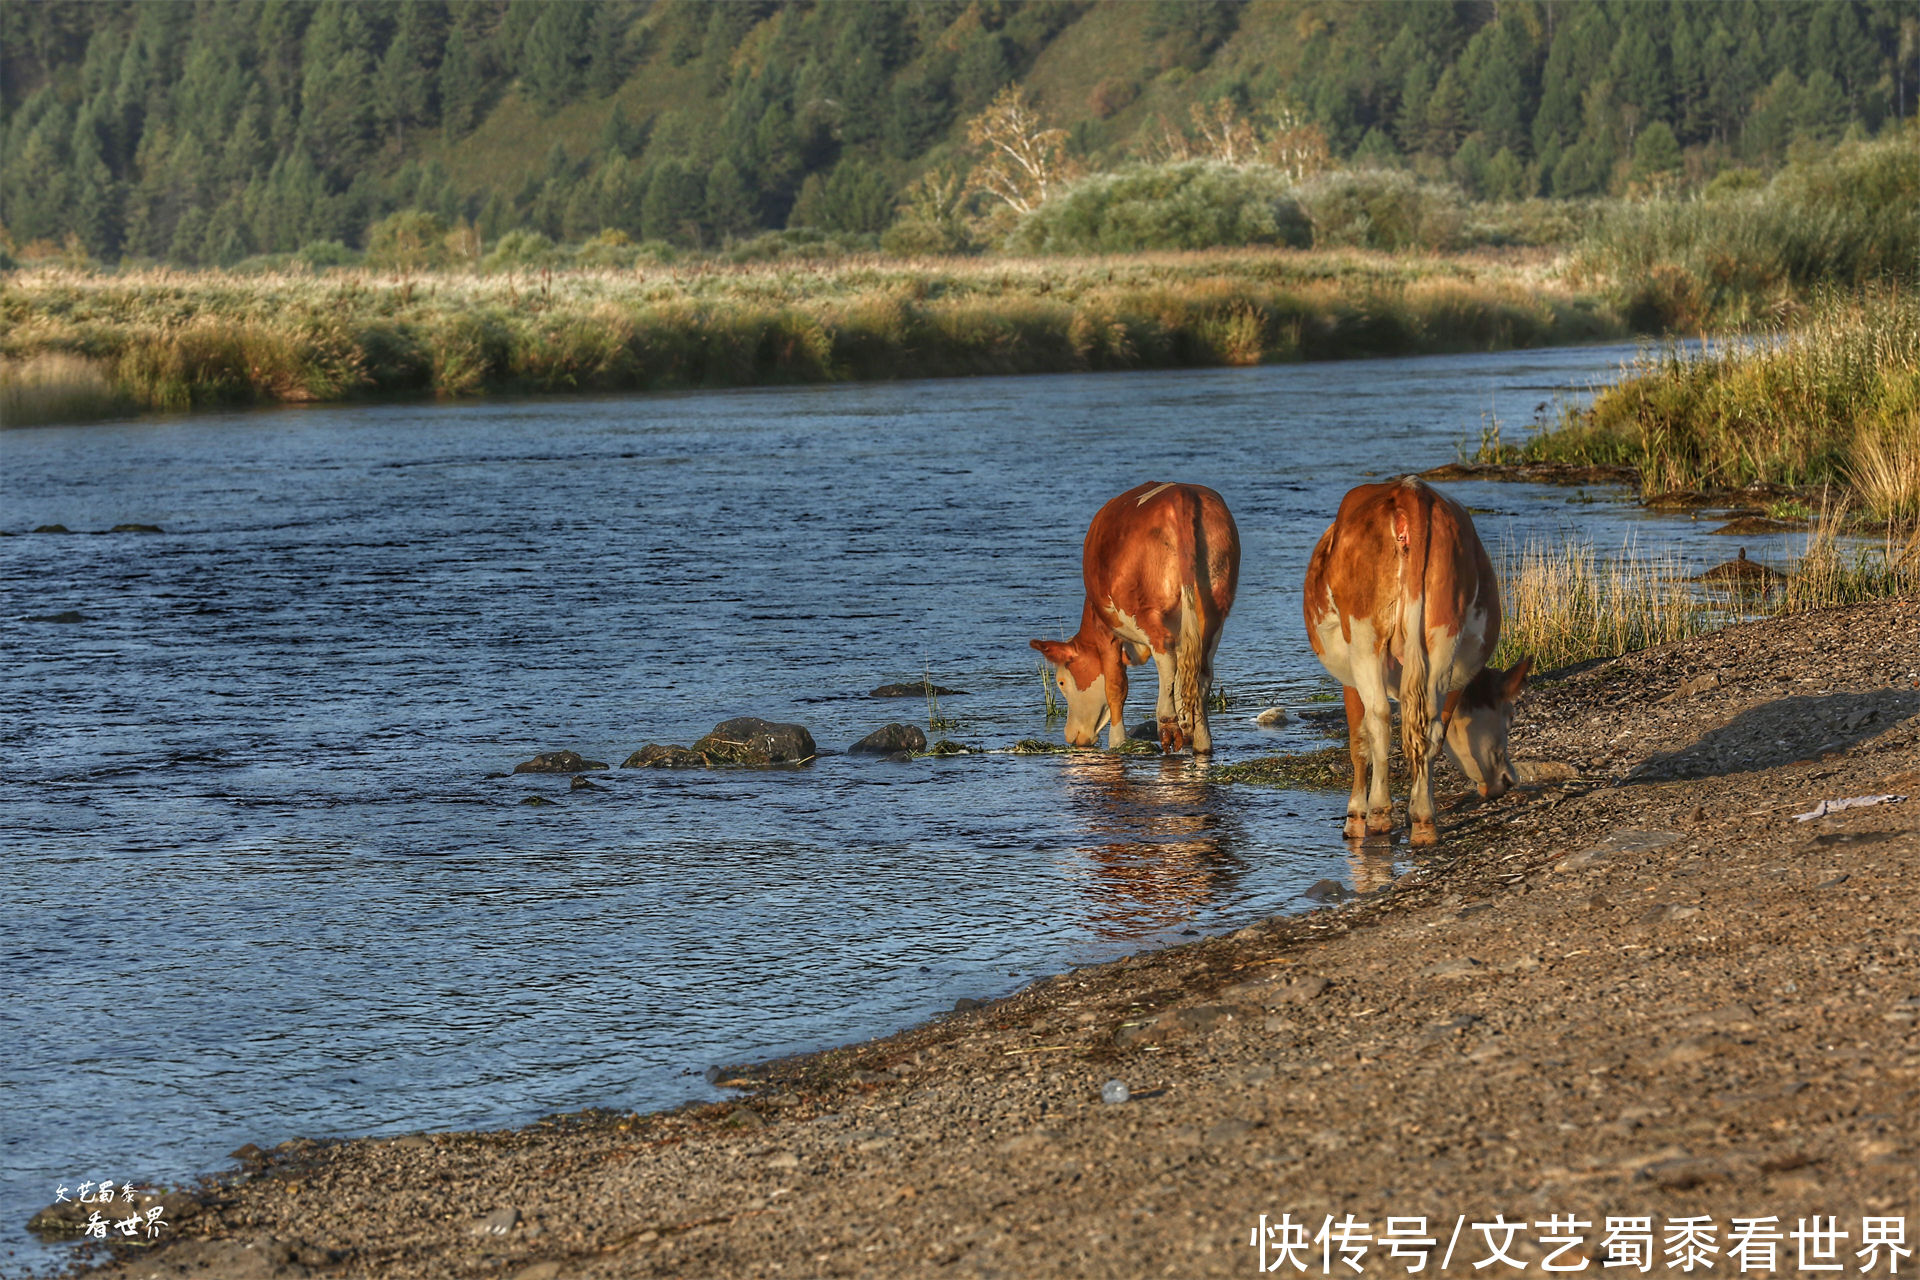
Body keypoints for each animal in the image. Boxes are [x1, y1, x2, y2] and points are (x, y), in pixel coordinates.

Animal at [1036, 485, 1244, 756]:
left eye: (1061, 682)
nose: (1071, 736)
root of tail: (1181, 493)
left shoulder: (1107, 633)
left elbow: (1116, 686)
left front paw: (1117, 740)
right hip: (1215, 610)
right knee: (1201, 672)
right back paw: (1200, 739)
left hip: (1147, 612)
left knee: (1166, 660)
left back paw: (1168, 724)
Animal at [1305, 475, 1528, 844]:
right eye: (1509, 717)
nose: (1508, 781)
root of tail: (1411, 491)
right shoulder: (1457, 674)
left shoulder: (1348, 676)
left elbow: (1358, 741)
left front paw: (1355, 816)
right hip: (1442, 632)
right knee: (1429, 724)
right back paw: (1424, 821)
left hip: (1364, 634)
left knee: (1379, 717)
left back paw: (1380, 815)